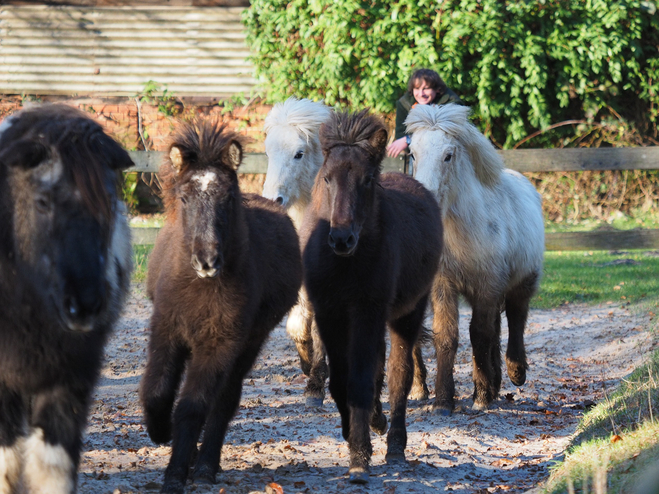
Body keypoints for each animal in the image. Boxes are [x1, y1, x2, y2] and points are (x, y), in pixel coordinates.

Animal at [142, 117, 304, 492]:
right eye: (184, 198)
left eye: (228, 197)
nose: (207, 261)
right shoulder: (166, 330)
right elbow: (156, 391)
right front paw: (160, 432)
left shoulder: (220, 343)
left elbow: (194, 405)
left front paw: (176, 472)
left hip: (247, 344)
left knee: (225, 400)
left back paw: (204, 465)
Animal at [300, 110, 444, 484]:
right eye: (326, 178)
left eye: (366, 180)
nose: (342, 239)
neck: (345, 264)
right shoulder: (330, 313)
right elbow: (341, 381)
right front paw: (353, 433)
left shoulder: (368, 311)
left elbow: (364, 378)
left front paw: (359, 456)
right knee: (381, 365)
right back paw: (378, 422)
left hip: (405, 313)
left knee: (399, 373)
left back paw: (395, 444)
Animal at [408, 104, 548, 412]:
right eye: (412, 154)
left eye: (448, 155)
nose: (423, 199)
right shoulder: (444, 284)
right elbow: (447, 335)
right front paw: (444, 401)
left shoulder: (487, 283)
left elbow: (479, 335)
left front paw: (481, 396)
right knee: (496, 327)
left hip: (522, 282)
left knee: (516, 319)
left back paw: (515, 372)